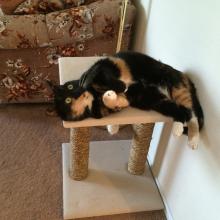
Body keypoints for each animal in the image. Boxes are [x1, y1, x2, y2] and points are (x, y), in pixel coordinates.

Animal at [52, 51, 204, 149]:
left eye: (70, 87)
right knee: (181, 112)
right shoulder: (123, 101)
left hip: (176, 88)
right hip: (155, 101)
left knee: (192, 114)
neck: (94, 98)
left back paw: (193, 140)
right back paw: (178, 128)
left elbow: (97, 79)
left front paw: (118, 87)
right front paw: (111, 101)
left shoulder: (100, 69)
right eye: (67, 100)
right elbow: (113, 102)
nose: (78, 92)